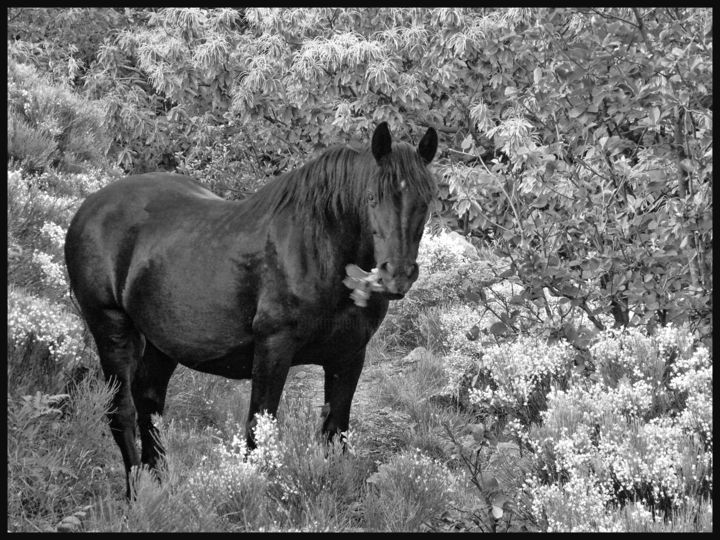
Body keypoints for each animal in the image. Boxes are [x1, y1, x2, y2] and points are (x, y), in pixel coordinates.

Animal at [66, 120, 438, 496]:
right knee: (122, 412)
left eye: (425, 201)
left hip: (162, 341)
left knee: (149, 400)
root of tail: (90, 205)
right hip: (110, 328)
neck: (319, 251)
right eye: (372, 198)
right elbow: (258, 435)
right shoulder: (273, 350)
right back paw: (136, 494)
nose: (397, 276)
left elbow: (335, 434)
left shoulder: (348, 357)